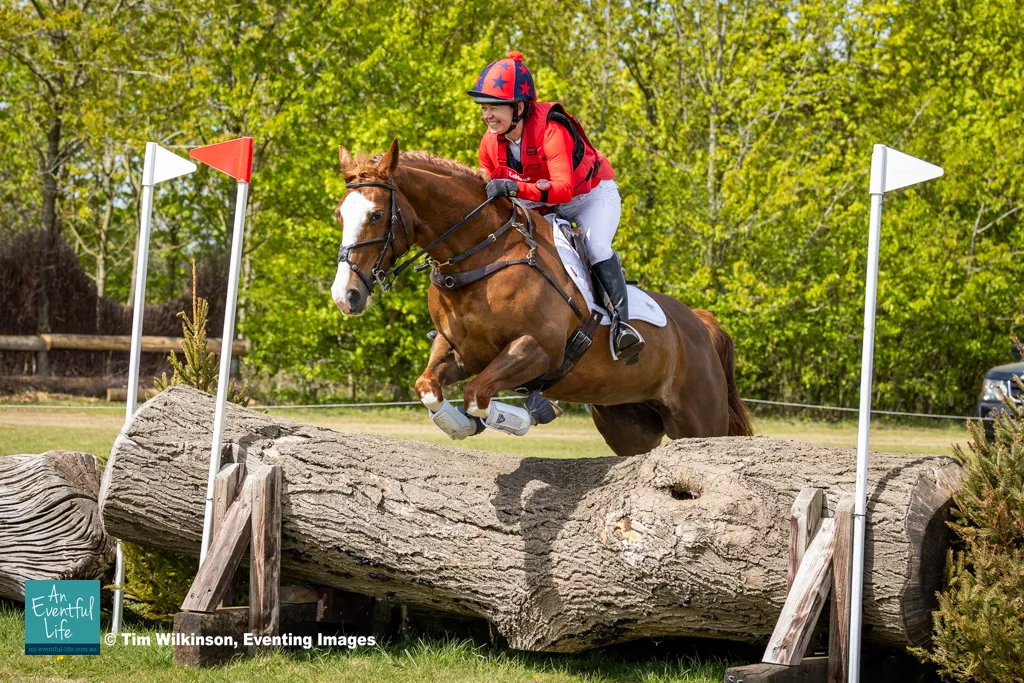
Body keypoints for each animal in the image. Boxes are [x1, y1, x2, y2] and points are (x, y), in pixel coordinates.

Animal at [331, 139, 752, 456]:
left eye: (376, 215)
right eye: (339, 214)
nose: (344, 296)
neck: (481, 253)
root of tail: (699, 323)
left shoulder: (538, 349)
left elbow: (477, 394)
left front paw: (530, 413)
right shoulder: (458, 350)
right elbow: (429, 388)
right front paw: (461, 424)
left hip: (699, 418)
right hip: (626, 421)